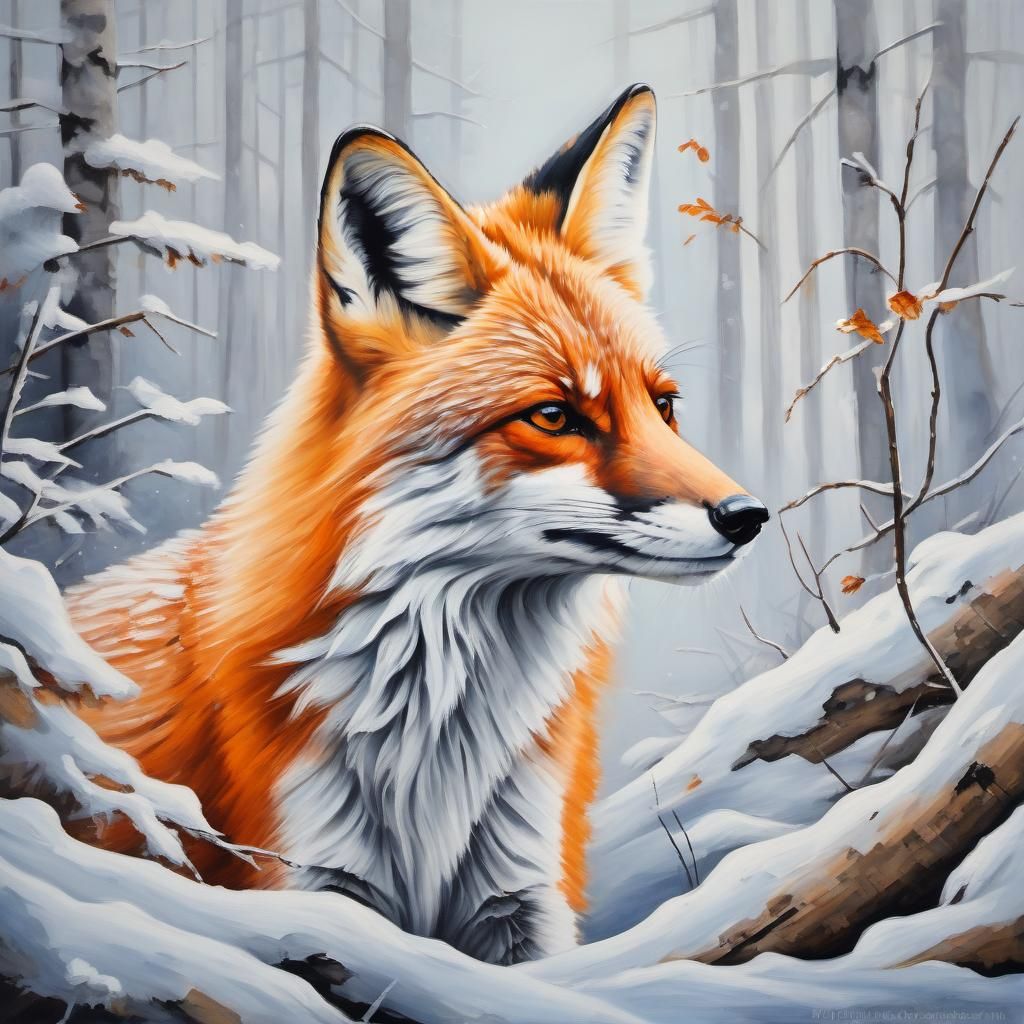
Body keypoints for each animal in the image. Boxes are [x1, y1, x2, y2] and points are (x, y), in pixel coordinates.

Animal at [67, 84, 767, 965]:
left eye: (664, 405)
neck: (436, 752)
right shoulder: (309, 888)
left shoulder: (523, 897)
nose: (749, 516)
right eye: (554, 416)